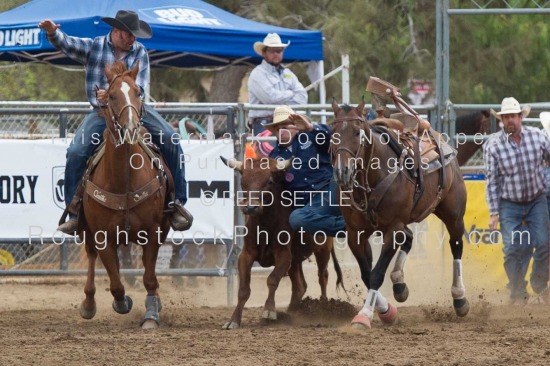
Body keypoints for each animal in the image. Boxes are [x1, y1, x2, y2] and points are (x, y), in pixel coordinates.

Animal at [76, 60, 169, 328]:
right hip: (88, 230)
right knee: (93, 257)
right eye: (111, 96)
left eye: (138, 92)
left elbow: (149, 277)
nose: (130, 127)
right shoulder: (101, 235)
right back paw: (88, 303)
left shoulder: (153, 230)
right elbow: (116, 283)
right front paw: (122, 302)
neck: (124, 180)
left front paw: (151, 314)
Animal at [330, 100, 472, 328]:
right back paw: (399, 284)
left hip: (454, 215)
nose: (342, 171)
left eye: (357, 132)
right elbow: (366, 274)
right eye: (333, 132)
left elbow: (377, 274)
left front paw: (365, 315)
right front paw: (386, 310)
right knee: (410, 237)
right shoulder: (355, 233)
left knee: (456, 246)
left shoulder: (393, 228)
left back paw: (459, 298)